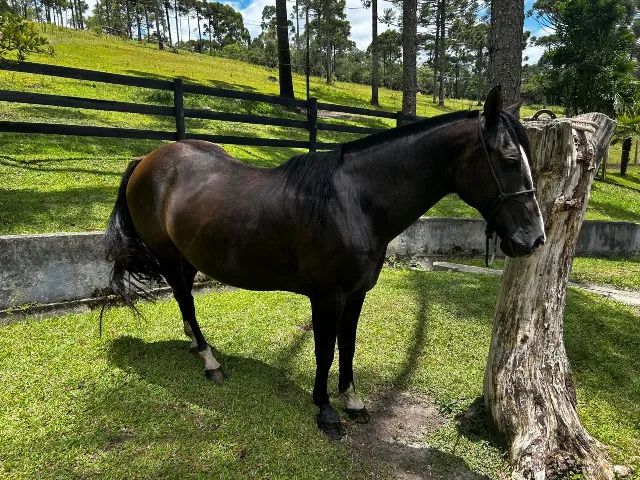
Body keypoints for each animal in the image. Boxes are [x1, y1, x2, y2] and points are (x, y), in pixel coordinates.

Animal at [104, 86, 545, 439]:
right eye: (509, 160)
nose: (534, 239)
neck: (354, 202)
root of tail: (147, 158)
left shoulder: (356, 295)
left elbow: (347, 346)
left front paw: (352, 401)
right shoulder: (327, 297)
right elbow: (325, 351)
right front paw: (326, 410)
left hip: (189, 255)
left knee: (186, 304)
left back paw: (199, 349)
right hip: (167, 256)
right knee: (185, 300)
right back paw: (211, 361)